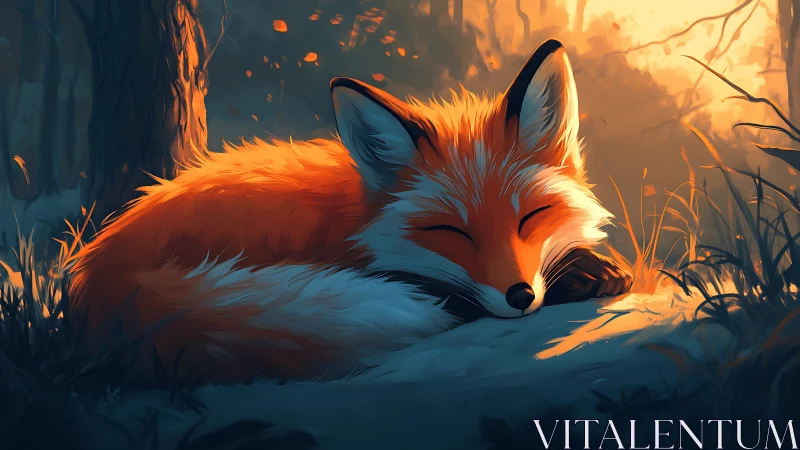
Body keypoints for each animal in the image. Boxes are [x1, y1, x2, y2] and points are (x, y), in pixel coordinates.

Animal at [68, 40, 633, 383]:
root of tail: (97, 266)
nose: (519, 297)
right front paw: (584, 275)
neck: (357, 207)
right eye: (450, 231)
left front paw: (595, 268)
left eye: (529, 217)